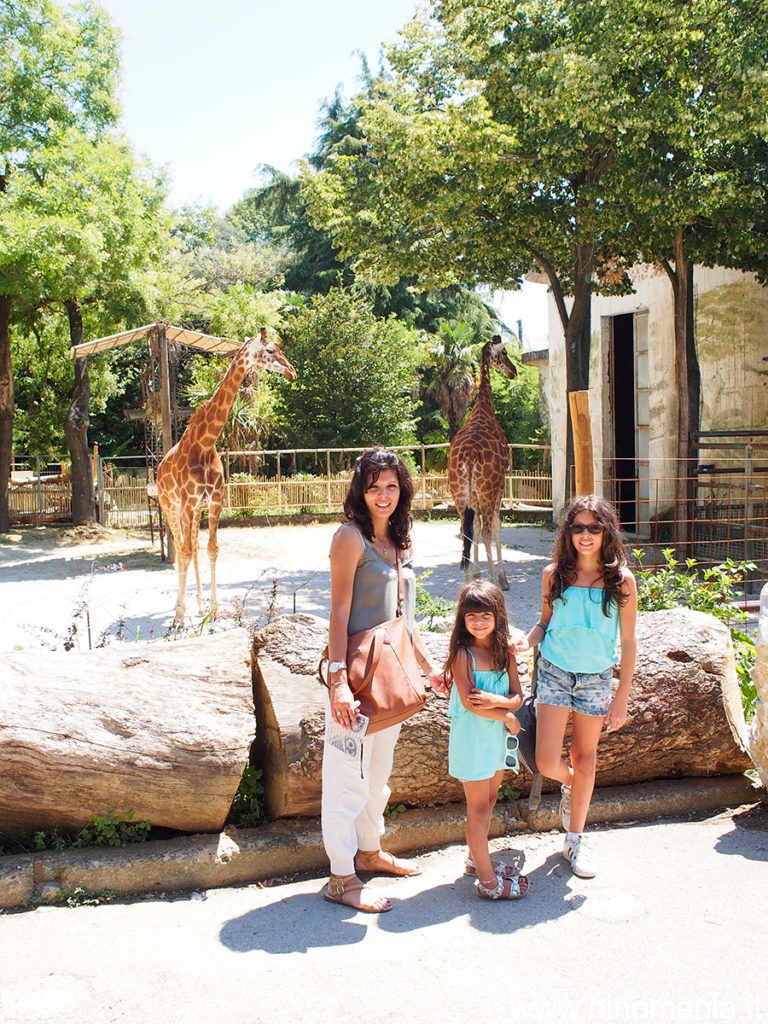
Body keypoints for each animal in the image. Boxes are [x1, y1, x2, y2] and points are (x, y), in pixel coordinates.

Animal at [157, 327, 296, 618]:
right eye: (270, 350)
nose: (292, 371)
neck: (205, 442)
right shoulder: (187, 502)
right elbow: (184, 551)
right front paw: (180, 616)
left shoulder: (214, 500)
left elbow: (211, 549)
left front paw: (213, 611)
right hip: (170, 506)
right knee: (182, 546)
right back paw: (180, 608)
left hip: (195, 509)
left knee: (193, 547)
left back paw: (198, 606)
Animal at [448, 335, 520, 593]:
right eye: (504, 353)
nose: (513, 371)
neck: (484, 406)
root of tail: (469, 456)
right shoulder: (499, 484)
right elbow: (497, 526)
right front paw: (501, 578)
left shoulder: (474, 495)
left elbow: (475, 528)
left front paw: (478, 574)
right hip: (486, 491)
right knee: (488, 529)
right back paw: (493, 581)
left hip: (459, 493)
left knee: (465, 530)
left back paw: (468, 582)